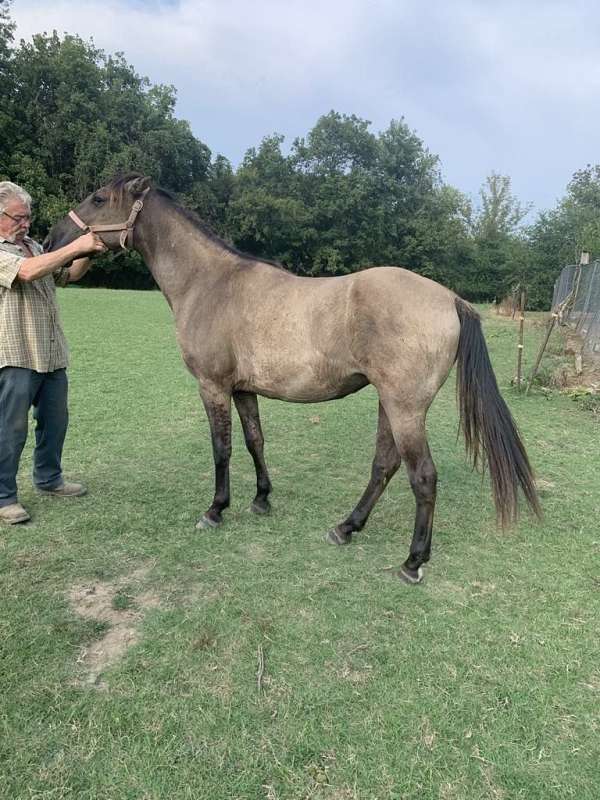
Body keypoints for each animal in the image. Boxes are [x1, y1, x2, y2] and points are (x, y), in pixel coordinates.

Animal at [44, 173, 540, 580]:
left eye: (98, 197)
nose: (51, 239)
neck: (210, 283)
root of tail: (451, 299)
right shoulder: (243, 390)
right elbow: (254, 441)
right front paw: (261, 499)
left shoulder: (213, 387)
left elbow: (221, 449)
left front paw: (215, 510)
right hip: (391, 404)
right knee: (385, 466)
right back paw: (346, 528)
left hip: (405, 408)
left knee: (423, 477)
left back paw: (412, 562)